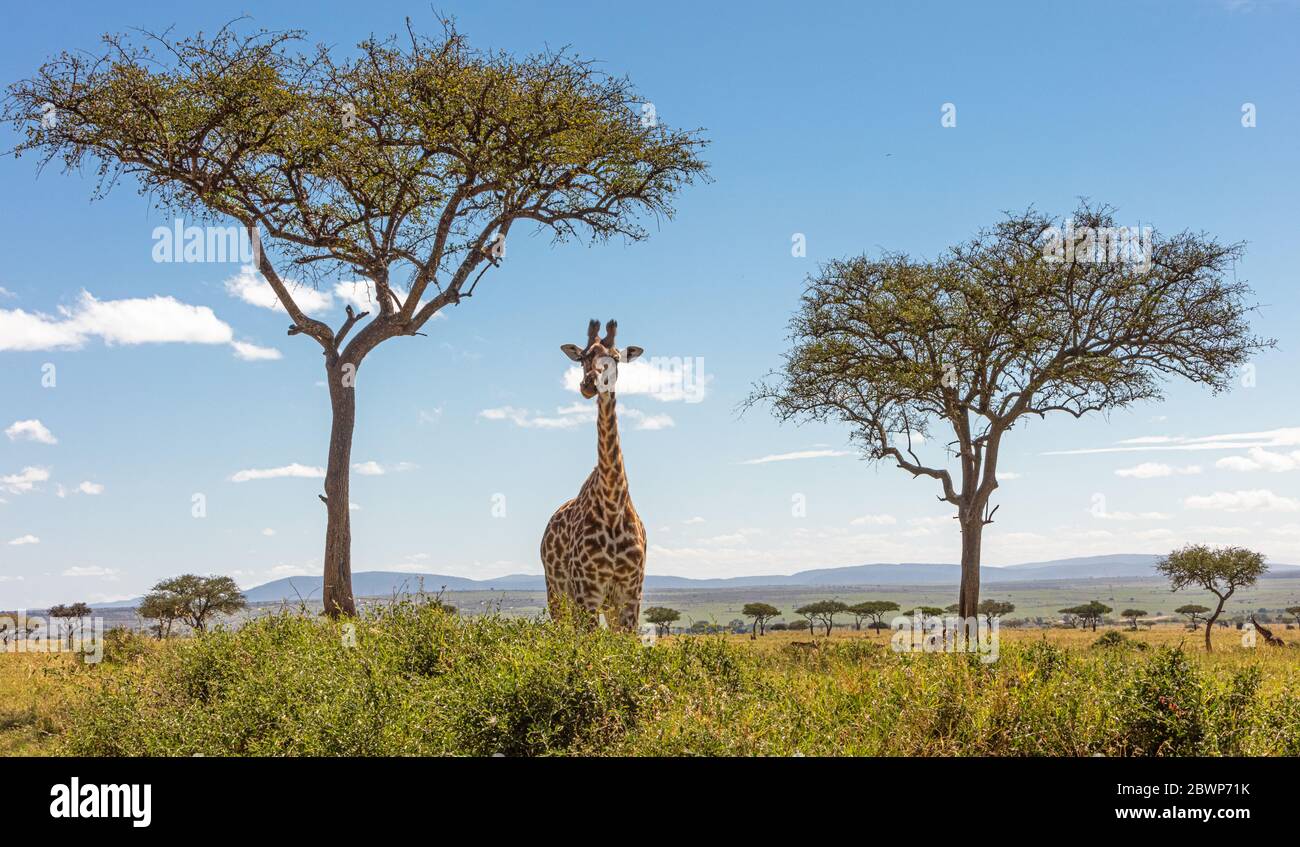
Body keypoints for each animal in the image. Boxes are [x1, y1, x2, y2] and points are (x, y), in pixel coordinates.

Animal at [541, 319, 648, 632]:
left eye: (614, 358)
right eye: (583, 357)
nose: (589, 384)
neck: (612, 504)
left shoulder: (630, 593)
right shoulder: (586, 592)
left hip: (606, 605)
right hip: (557, 592)